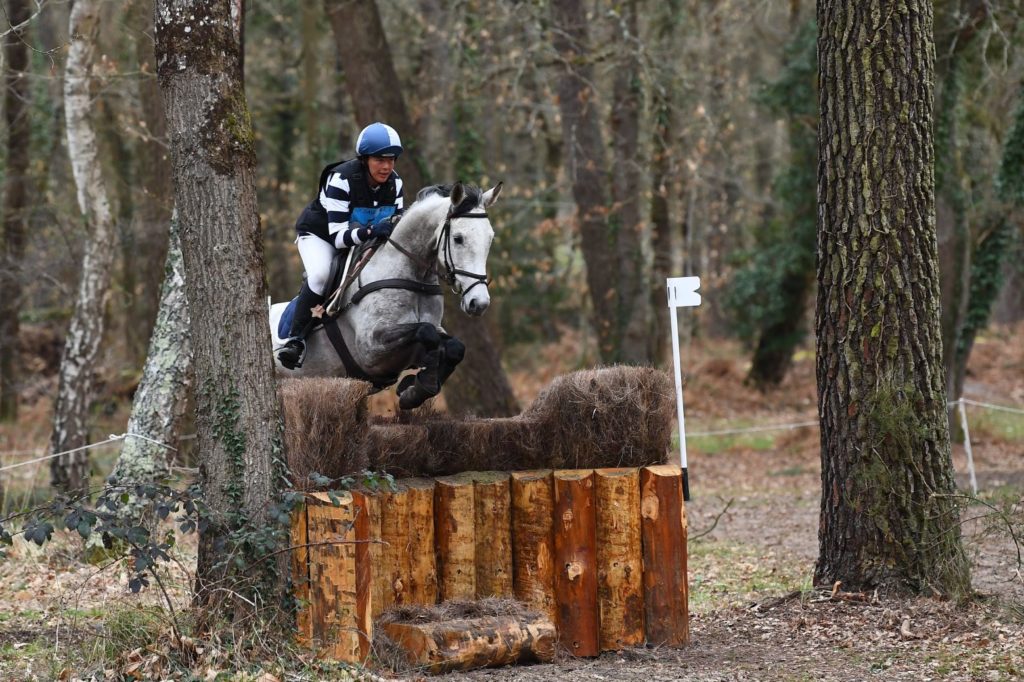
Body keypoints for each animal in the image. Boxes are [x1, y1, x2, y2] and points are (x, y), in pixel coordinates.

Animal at [266, 178, 501, 405]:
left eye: (490, 238)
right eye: (458, 238)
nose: (479, 303)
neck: (413, 276)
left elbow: (454, 347)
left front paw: (414, 389)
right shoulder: (371, 348)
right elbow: (426, 332)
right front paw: (417, 387)